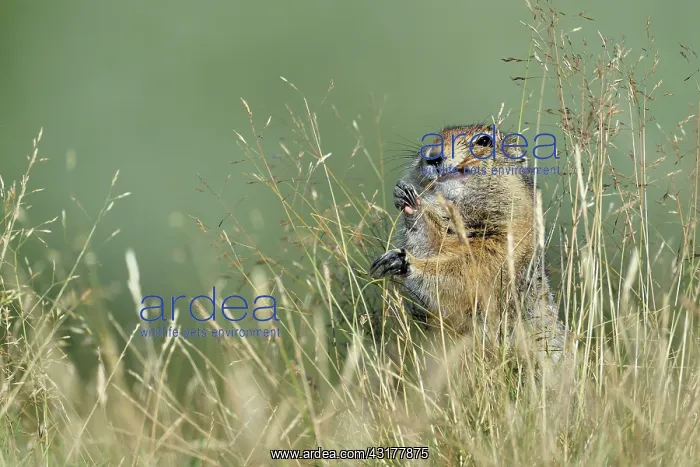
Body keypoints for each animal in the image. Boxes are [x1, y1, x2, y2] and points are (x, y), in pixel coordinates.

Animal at [370, 124, 568, 368]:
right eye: (432, 138)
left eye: (483, 141)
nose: (432, 155)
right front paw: (408, 198)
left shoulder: (505, 241)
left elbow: (469, 272)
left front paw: (406, 261)